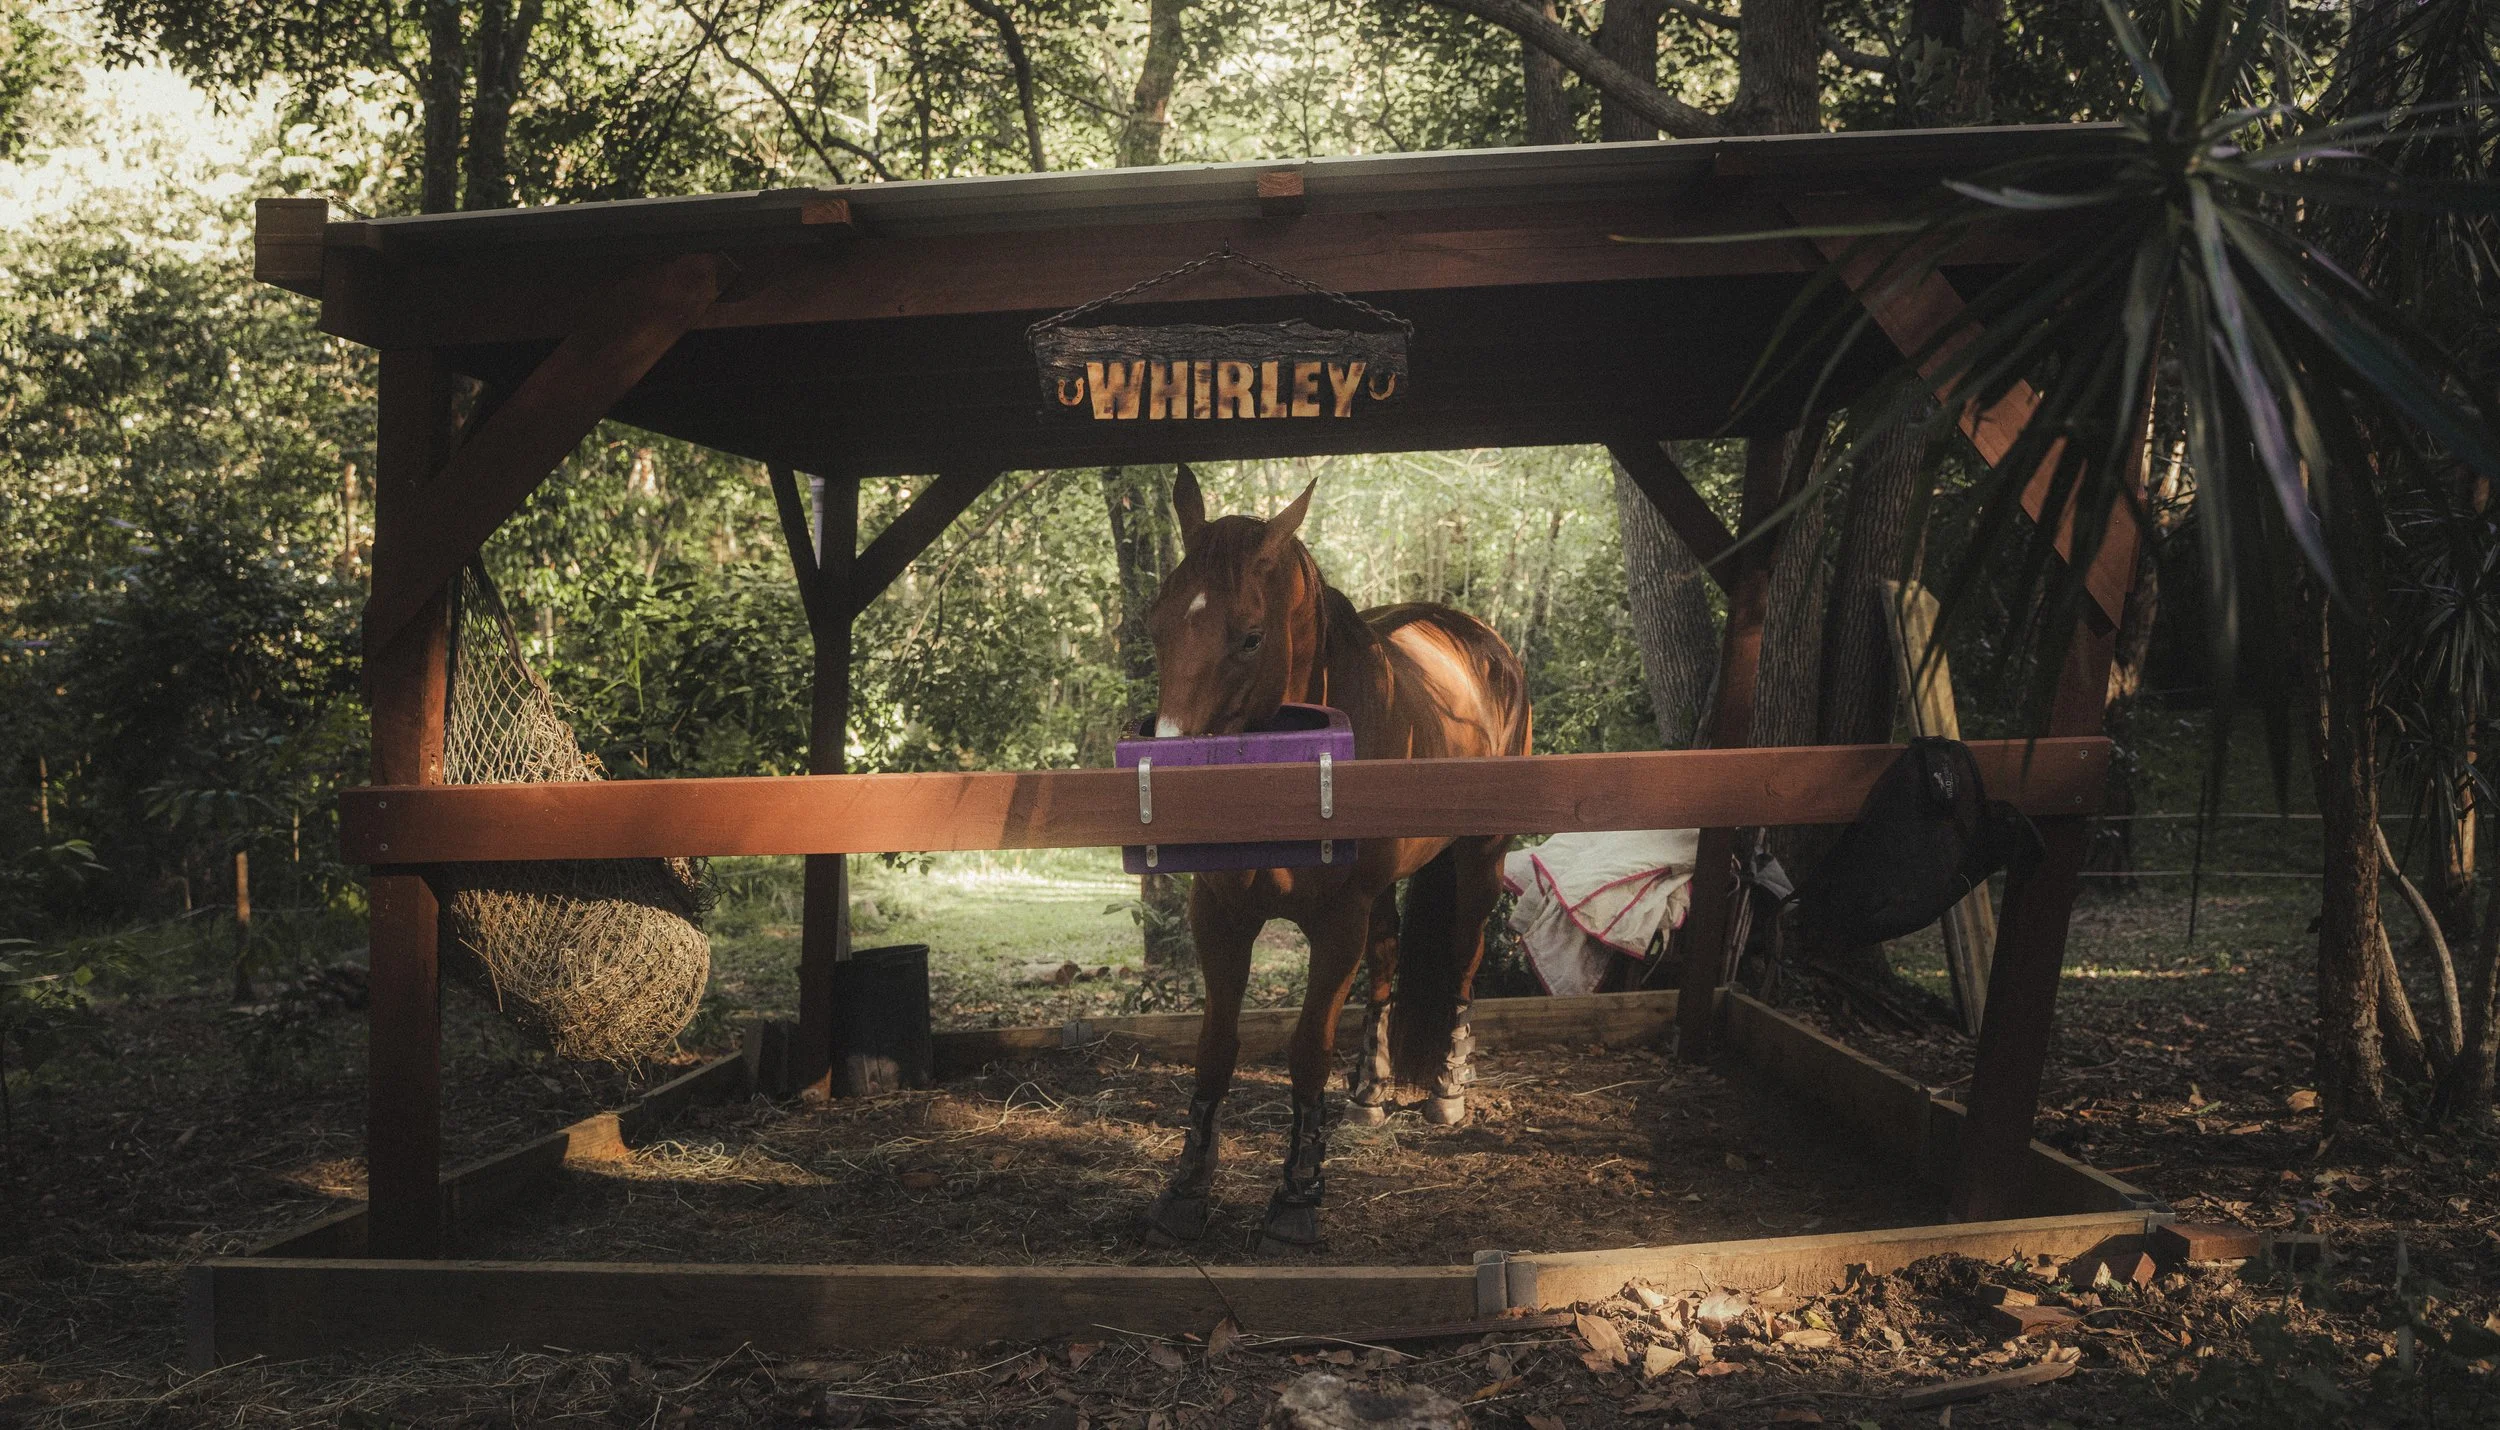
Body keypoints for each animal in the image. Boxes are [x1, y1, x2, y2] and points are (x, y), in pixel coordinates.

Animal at [1141, 468, 1532, 1253]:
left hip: (1481, 858)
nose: (1174, 790)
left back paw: (1448, 1088)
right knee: (1385, 969)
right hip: (1382, 895)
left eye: (1250, 636)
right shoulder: (1220, 916)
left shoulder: (1334, 925)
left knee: (1465, 956)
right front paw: (1187, 1187)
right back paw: (1370, 1095)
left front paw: (1296, 1196)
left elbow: (1305, 1052)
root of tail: (1480, 642)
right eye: (1156, 625)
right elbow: (1215, 1046)